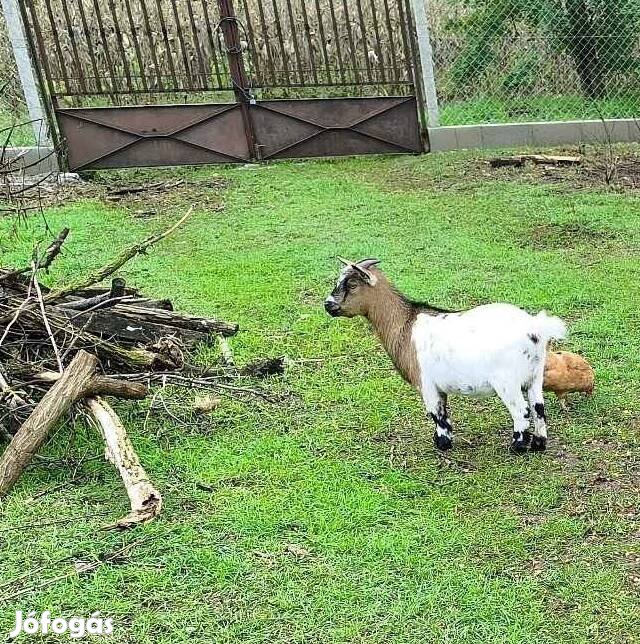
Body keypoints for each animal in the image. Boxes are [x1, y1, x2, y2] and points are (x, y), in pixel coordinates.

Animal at [324, 258, 564, 452]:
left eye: (352, 285)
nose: (328, 305)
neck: (405, 324)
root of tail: (535, 328)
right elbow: (444, 412)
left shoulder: (426, 383)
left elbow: (436, 414)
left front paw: (442, 444)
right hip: (535, 376)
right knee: (539, 408)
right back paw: (539, 444)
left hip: (507, 381)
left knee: (521, 411)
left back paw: (517, 447)